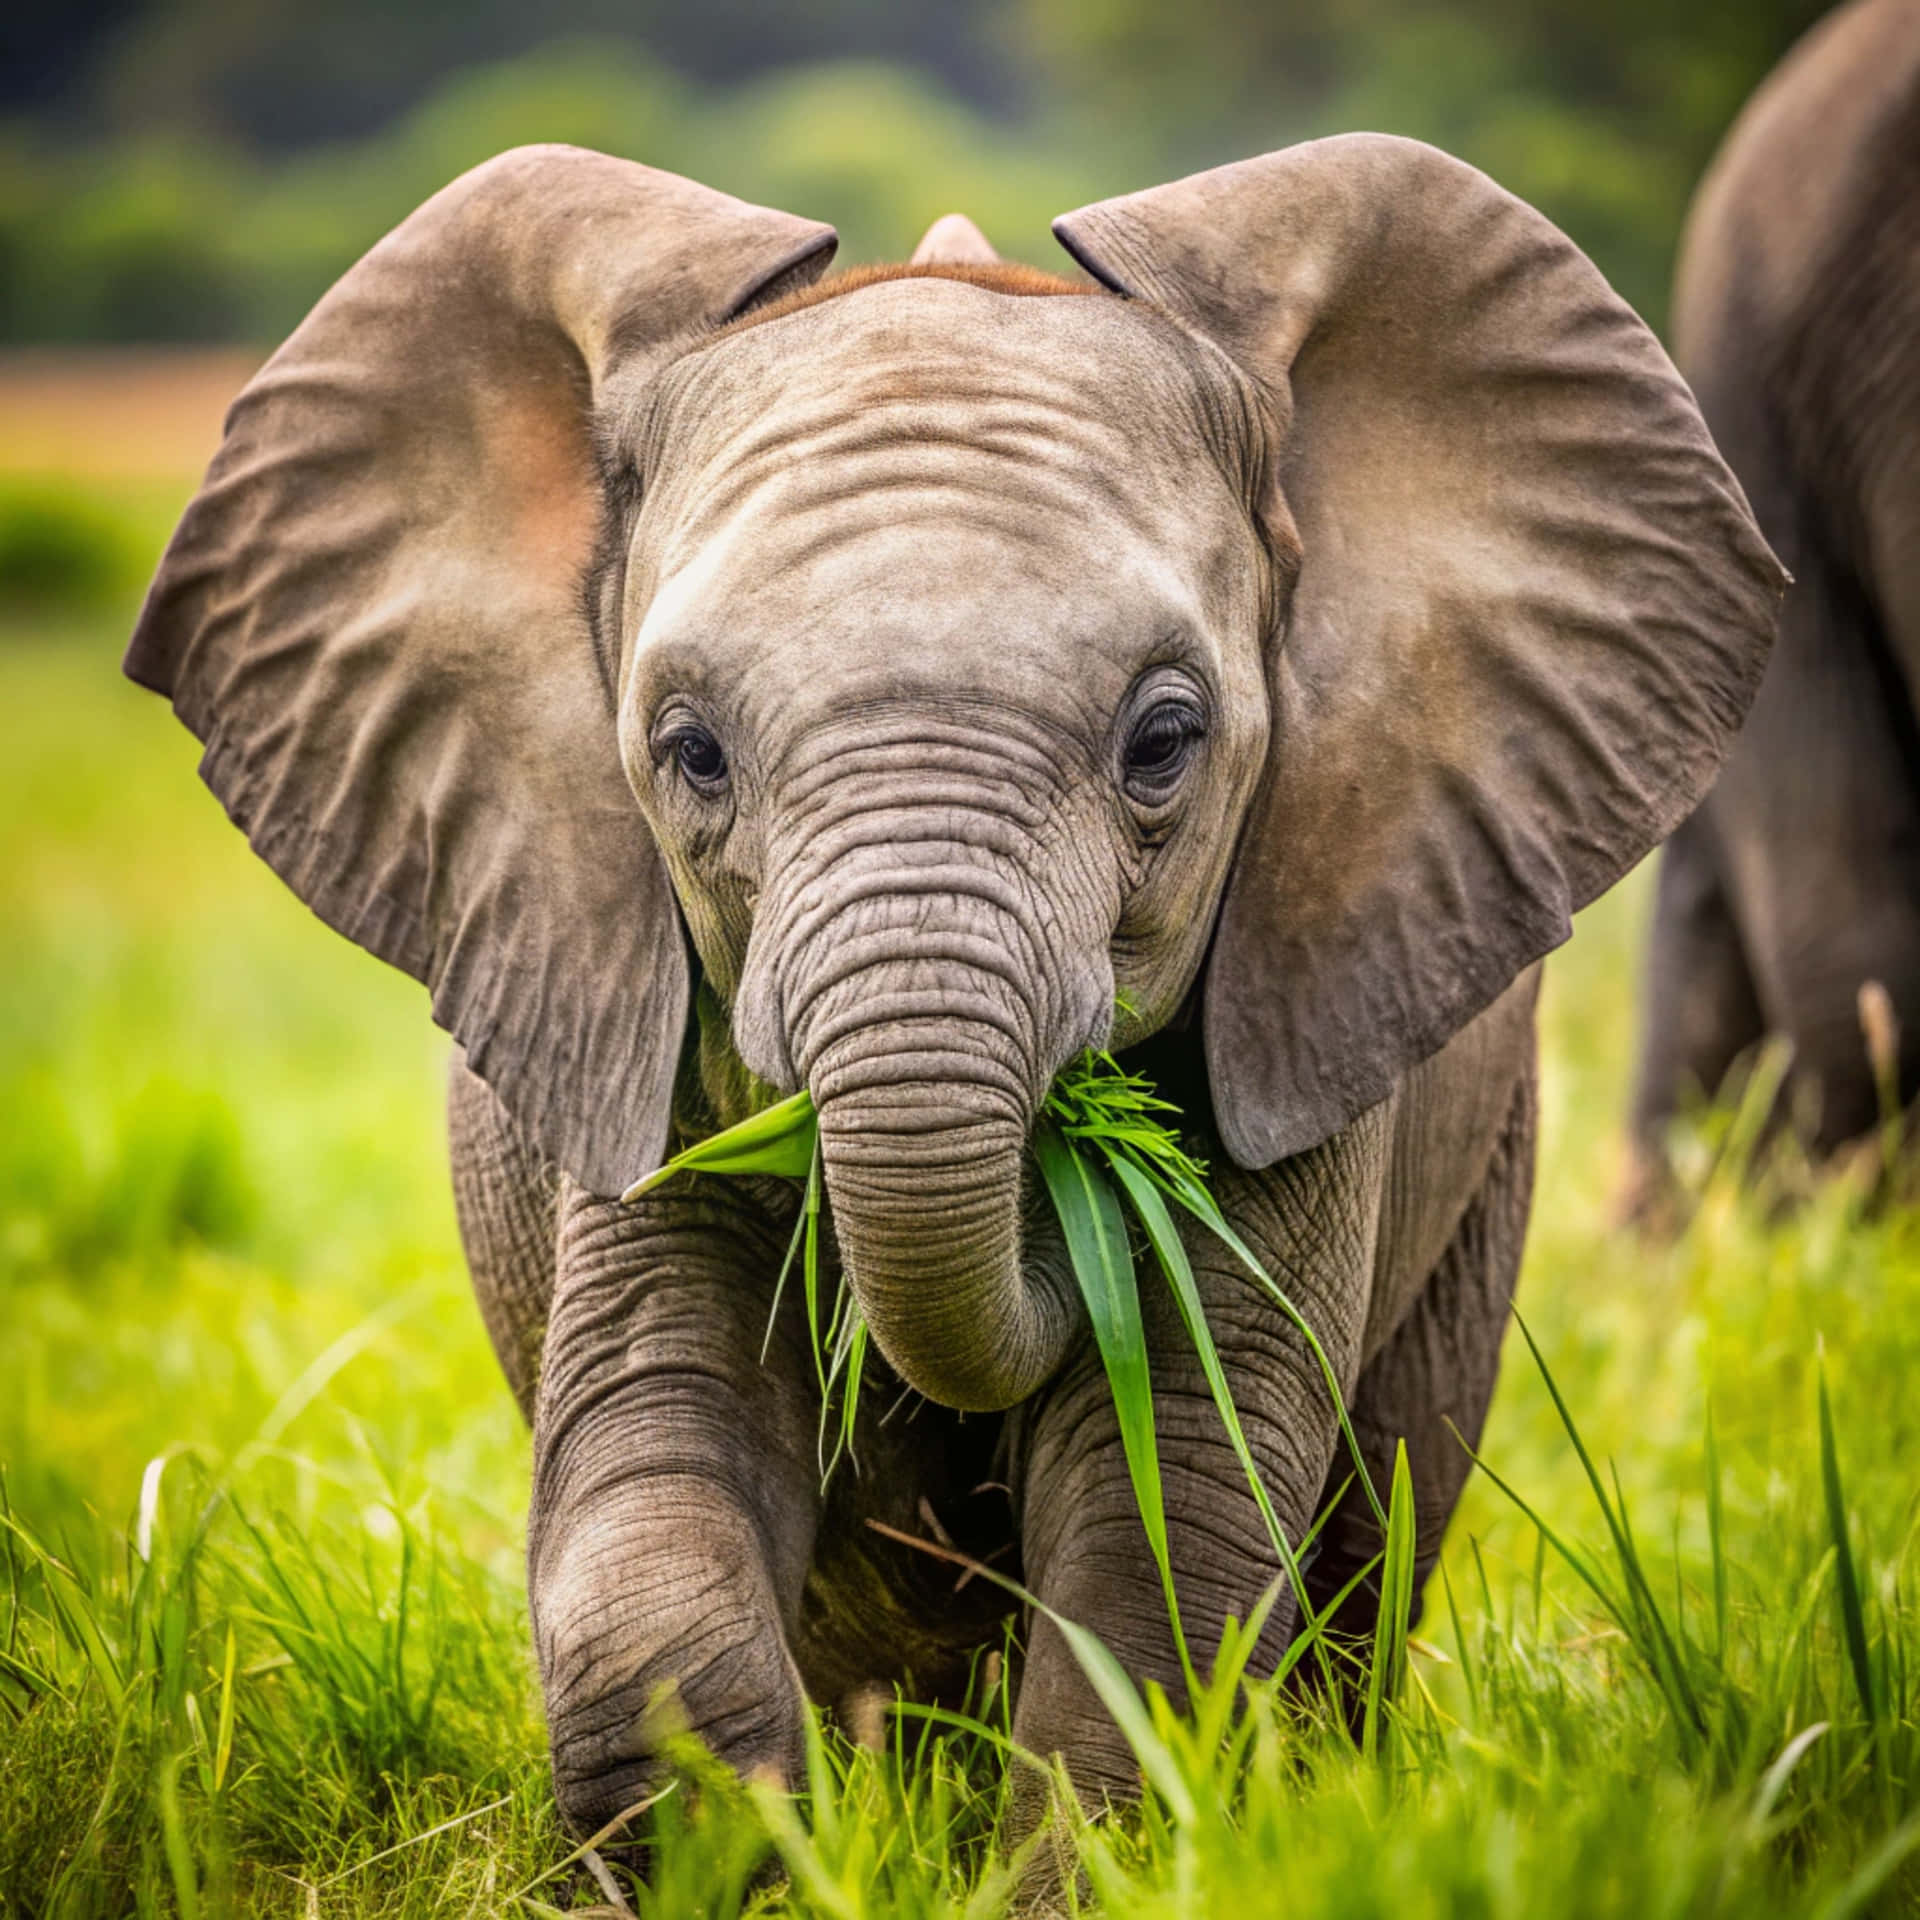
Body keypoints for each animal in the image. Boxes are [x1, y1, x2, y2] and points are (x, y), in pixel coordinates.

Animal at [125, 135, 1782, 1837]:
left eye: (1165, 741)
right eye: (688, 752)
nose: (1073, 1180)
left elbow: (1172, 1510)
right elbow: (656, 1440)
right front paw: (754, 1857)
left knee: (1374, 1527)